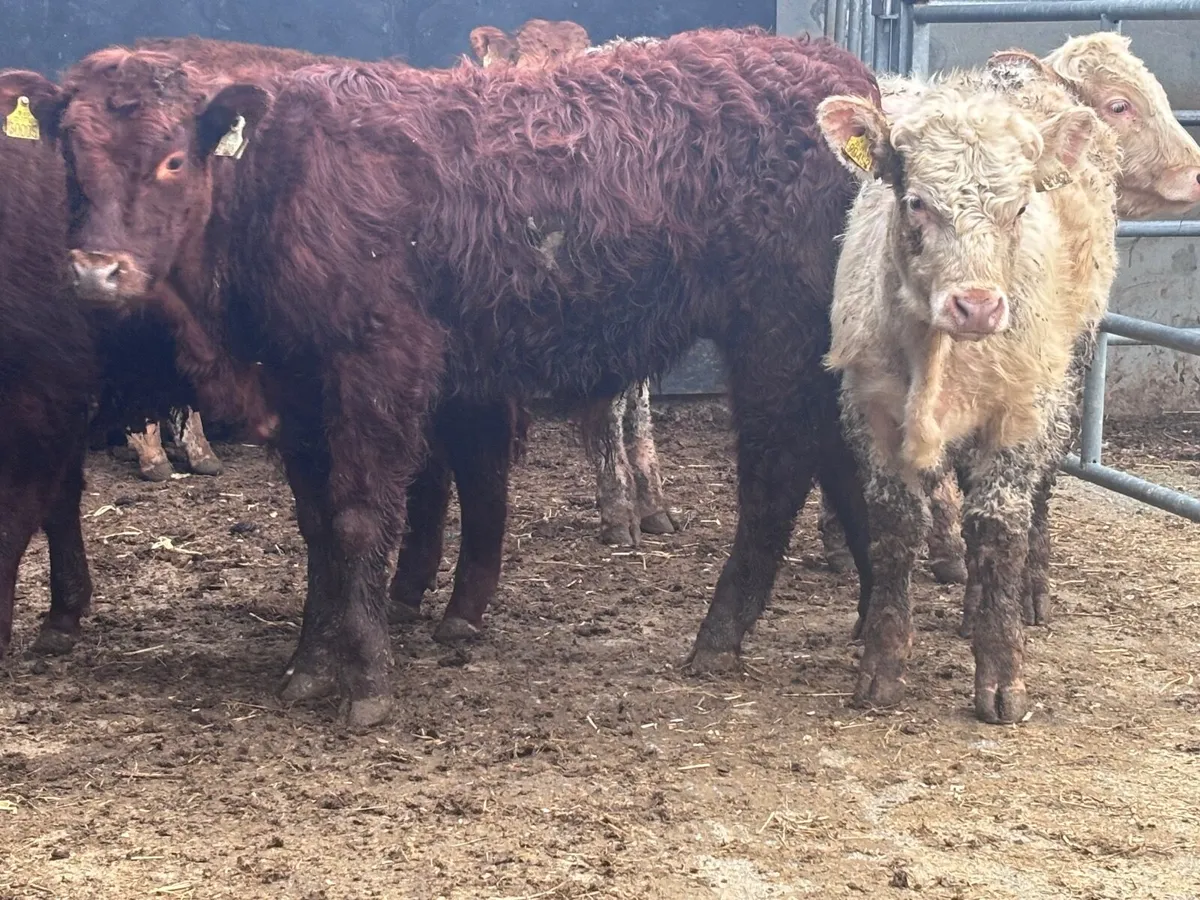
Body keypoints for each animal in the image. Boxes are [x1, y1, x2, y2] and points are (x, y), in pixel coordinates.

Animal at [816, 59, 1120, 723]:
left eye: (1021, 207)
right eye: (916, 203)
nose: (977, 305)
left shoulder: (1020, 410)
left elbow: (998, 528)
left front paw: (1002, 674)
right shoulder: (870, 407)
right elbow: (896, 523)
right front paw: (882, 664)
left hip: (1068, 377)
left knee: (1037, 495)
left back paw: (1024, 595)